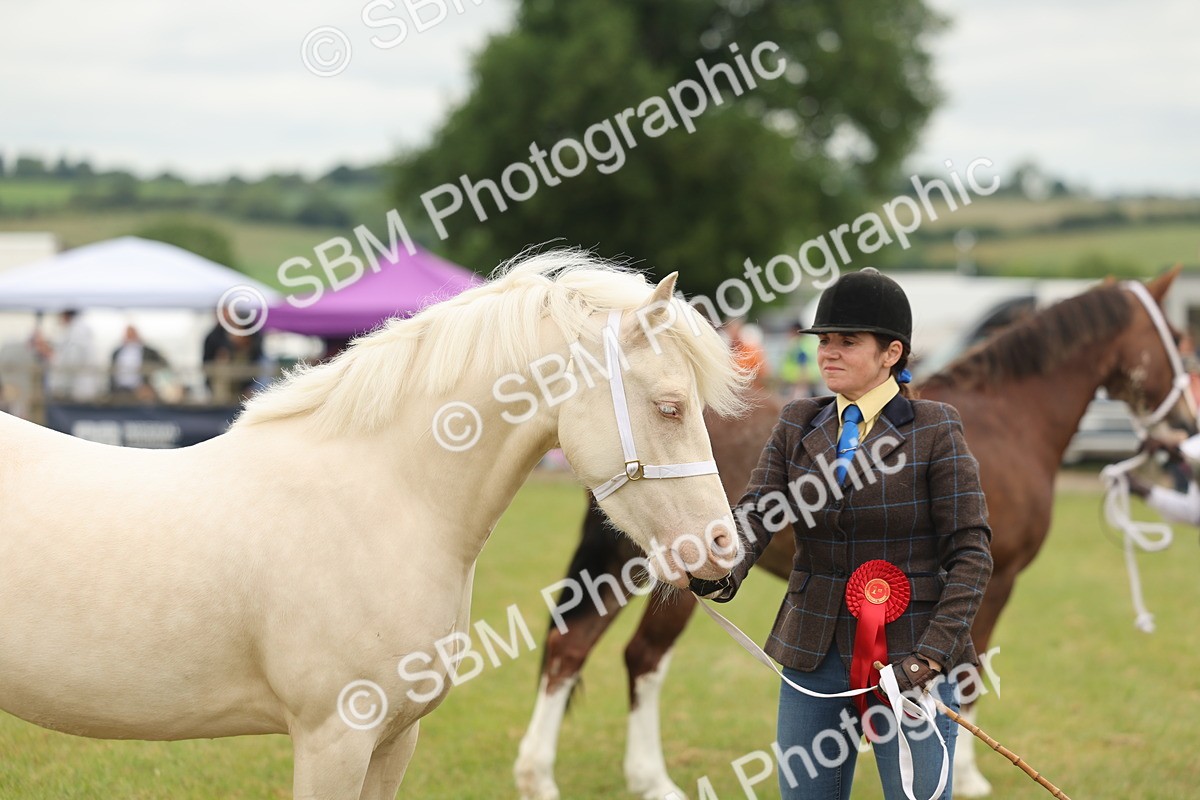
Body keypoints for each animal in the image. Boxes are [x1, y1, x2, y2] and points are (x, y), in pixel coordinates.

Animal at [514, 269, 1193, 800]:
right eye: (1180, 342)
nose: (1185, 427)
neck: (1009, 419)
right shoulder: (996, 580)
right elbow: (969, 675)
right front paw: (969, 777)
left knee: (577, 649)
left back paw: (567, 775)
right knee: (633, 657)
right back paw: (627, 778)